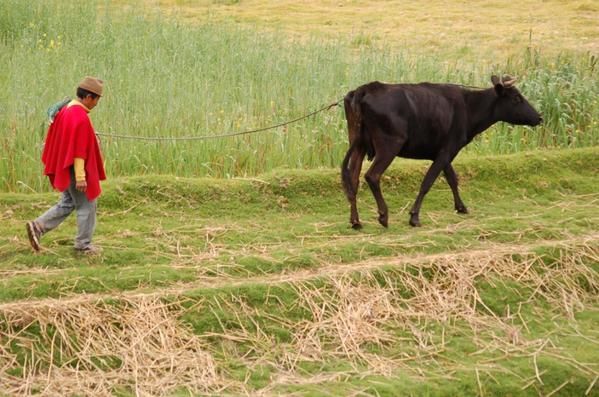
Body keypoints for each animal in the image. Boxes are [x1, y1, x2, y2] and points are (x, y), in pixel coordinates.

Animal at [342, 75, 544, 227]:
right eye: (517, 98)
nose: (539, 117)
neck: (469, 106)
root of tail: (366, 88)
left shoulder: (443, 152)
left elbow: (452, 179)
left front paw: (461, 207)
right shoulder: (448, 149)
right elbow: (428, 181)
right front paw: (414, 217)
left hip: (358, 145)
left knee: (353, 180)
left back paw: (355, 221)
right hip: (389, 144)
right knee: (372, 176)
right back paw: (383, 216)